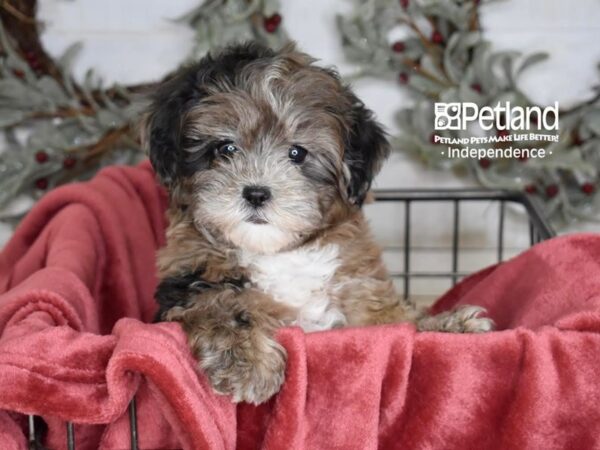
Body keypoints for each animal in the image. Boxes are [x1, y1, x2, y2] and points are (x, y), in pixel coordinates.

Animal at [144, 42, 492, 404]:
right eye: (225, 148)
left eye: (297, 154)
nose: (256, 193)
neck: (280, 252)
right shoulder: (189, 279)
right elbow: (219, 304)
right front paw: (245, 363)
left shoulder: (359, 290)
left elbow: (392, 321)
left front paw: (445, 325)